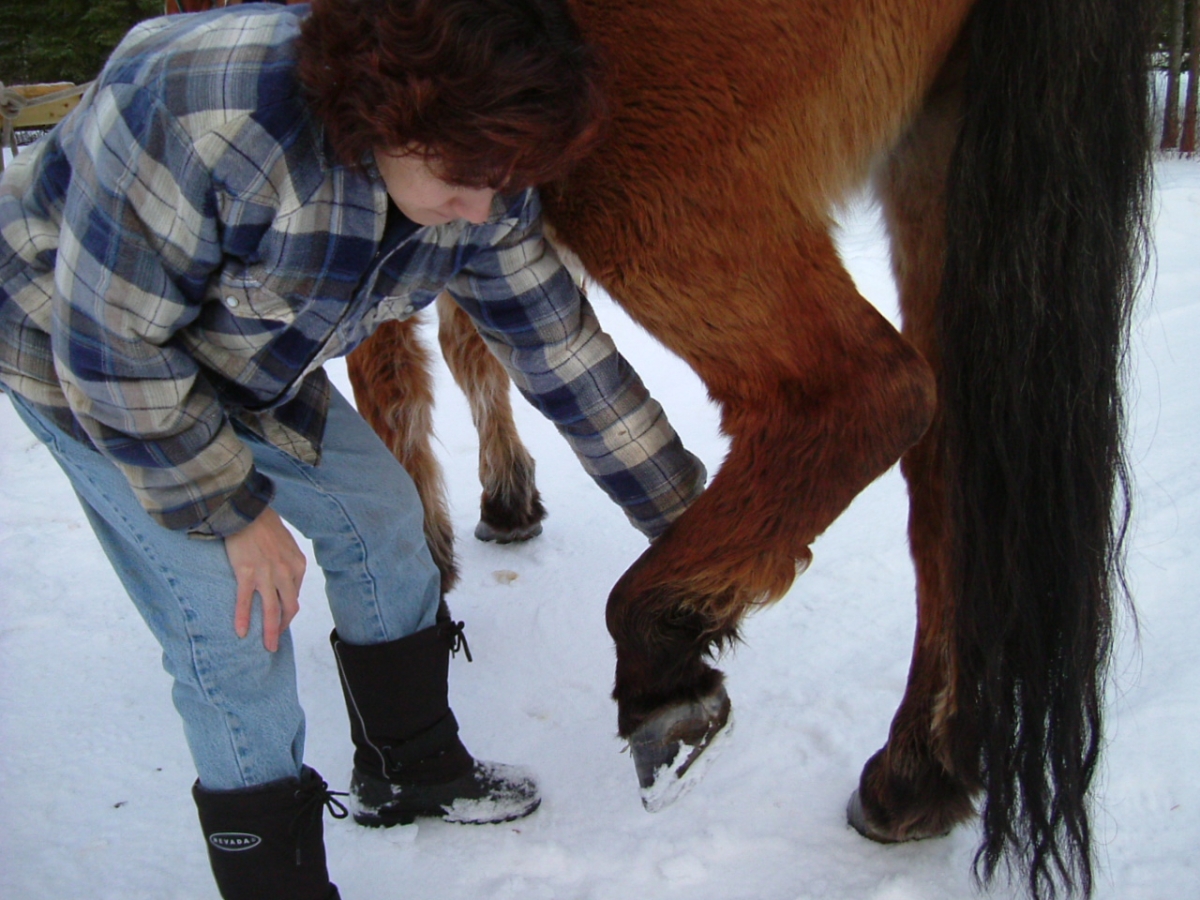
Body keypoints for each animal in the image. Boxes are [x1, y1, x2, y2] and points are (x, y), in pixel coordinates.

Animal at [167, 2, 1154, 897]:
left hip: (649, 178)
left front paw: (439, 549)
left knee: (868, 395)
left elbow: (398, 377)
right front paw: (506, 503)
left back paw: (661, 644)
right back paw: (917, 772)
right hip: (931, 172)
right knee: (953, 478)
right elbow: (478, 343)